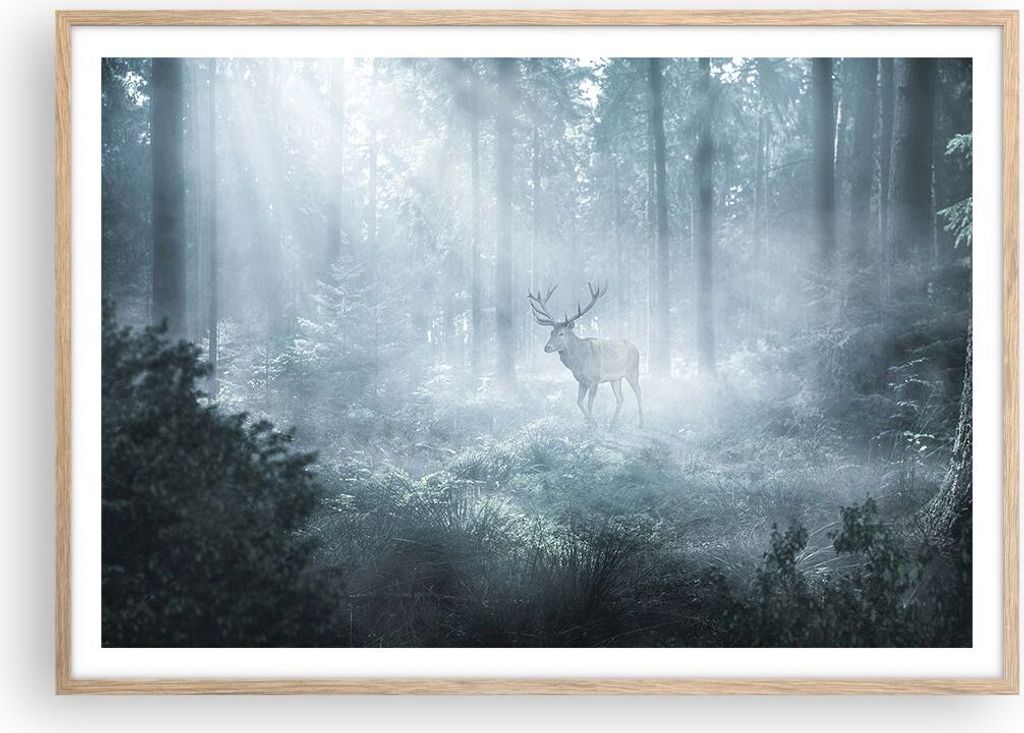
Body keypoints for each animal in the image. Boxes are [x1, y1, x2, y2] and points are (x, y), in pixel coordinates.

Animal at [528, 282, 643, 428]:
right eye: (551, 332)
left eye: (561, 333)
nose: (547, 347)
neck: (578, 362)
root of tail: (636, 348)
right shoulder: (581, 381)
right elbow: (579, 402)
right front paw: (588, 423)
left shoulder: (594, 379)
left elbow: (589, 404)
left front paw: (594, 424)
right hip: (616, 379)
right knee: (620, 398)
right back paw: (612, 425)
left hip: (633, 371)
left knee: (639, 393)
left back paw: (641, 423)